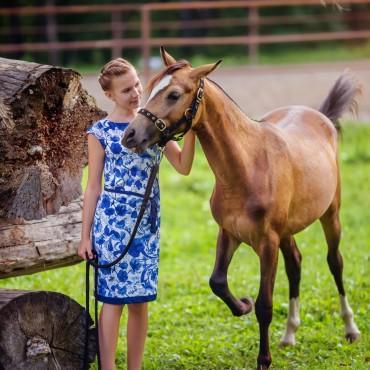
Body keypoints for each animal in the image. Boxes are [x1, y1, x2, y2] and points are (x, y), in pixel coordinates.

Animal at [121, 48, 358, 370]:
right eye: (148, 89)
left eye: (173, 94)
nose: (131, 135)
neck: (248, 166)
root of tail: (322, 118)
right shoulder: (228, 233)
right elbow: (217, 282)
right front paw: (241, 306)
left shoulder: (267, 243)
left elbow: (265, 305)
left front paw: (263, 360)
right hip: (287, 231)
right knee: (295, 264)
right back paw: (289, 334)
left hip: (330, 215)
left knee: (335, 262)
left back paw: (350, 328)